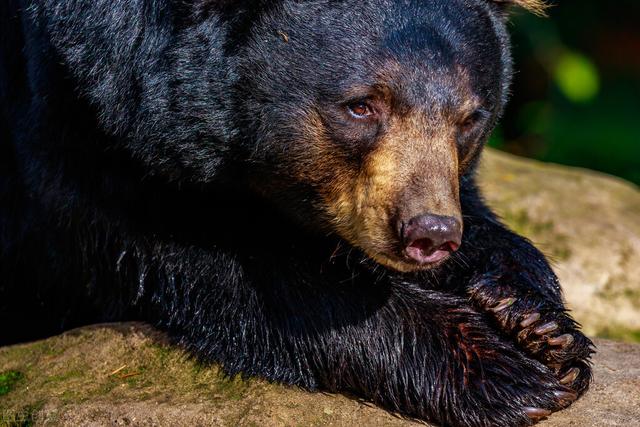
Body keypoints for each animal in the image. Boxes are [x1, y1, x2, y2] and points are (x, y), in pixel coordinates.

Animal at [0, 0, 592, 426]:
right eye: (361, 106)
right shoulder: (74, 118)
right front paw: (510, 371)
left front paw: (537, 321)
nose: (429, 233)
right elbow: (226, 270)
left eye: (470, 118)